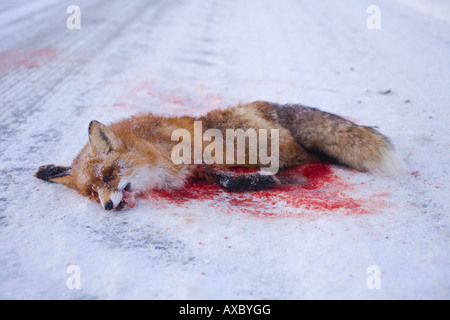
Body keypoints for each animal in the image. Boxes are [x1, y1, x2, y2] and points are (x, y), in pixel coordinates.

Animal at [36, 100, 408, 210]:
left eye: (110, 176)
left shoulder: (202, 155)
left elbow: (227, 181)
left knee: (302, 154)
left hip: (254, 144)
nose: (108, 207)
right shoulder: (197, 168)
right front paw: (49, 170)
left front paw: (264, 183)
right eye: (91, 193)